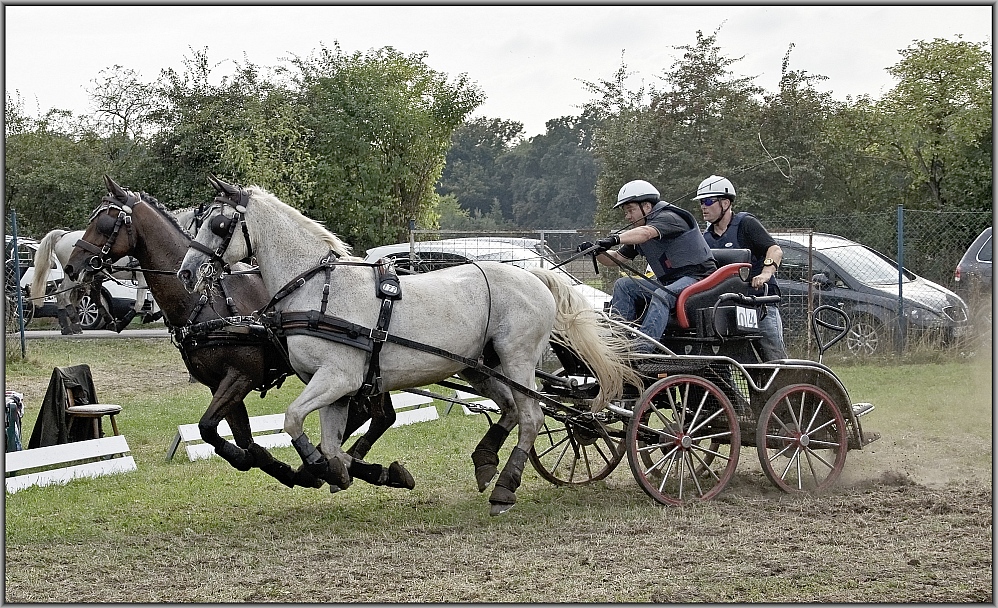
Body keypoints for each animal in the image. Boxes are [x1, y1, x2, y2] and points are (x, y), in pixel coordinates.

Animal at [65, 178, 414, 492]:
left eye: (104, 222)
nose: (72, 267)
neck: (203, 302)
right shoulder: (219, 384)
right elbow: (236, 437)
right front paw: (281, 467)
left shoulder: (241, 376)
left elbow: (209, 428)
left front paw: (297, 468)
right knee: (373, 415)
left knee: (377, 415)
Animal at [179, 178, 640, 516]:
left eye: (217, 224)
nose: (186, 273)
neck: (316, 289)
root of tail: (536, 276)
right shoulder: (335, 388)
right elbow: (330, 442)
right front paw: (343, 471)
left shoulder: (338, 378)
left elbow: (293, 420)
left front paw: (316, 467)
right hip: (479, 366)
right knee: (511, 409)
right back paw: (485, 462)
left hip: (518, 360)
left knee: (532, 415)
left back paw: (504, 488)